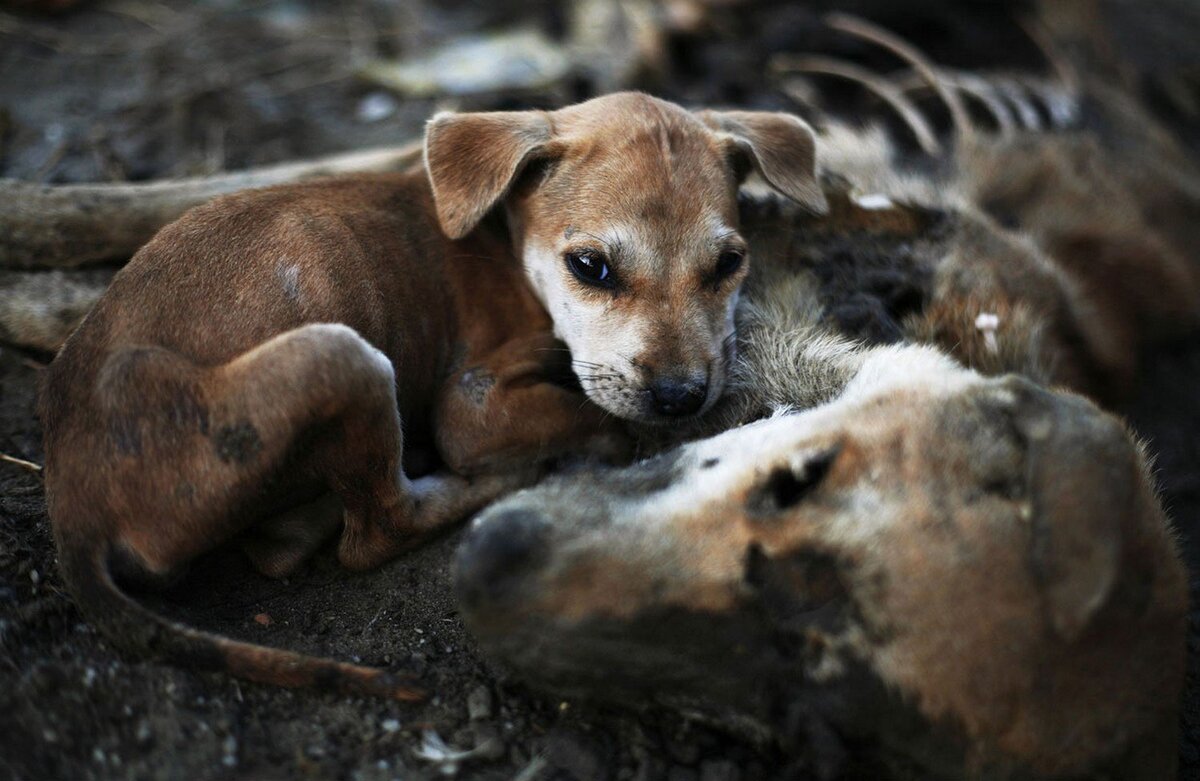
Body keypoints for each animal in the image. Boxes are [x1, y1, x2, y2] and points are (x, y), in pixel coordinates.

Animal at [37, 94, 825, 700]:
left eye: (728, 264)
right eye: (590, 266)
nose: (680, 397)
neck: (505, 238)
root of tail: (74, 513)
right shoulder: (472, 406)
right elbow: (590, 413)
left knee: (284, 544)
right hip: (343, 358)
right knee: (376, 528)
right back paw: (500, 482)